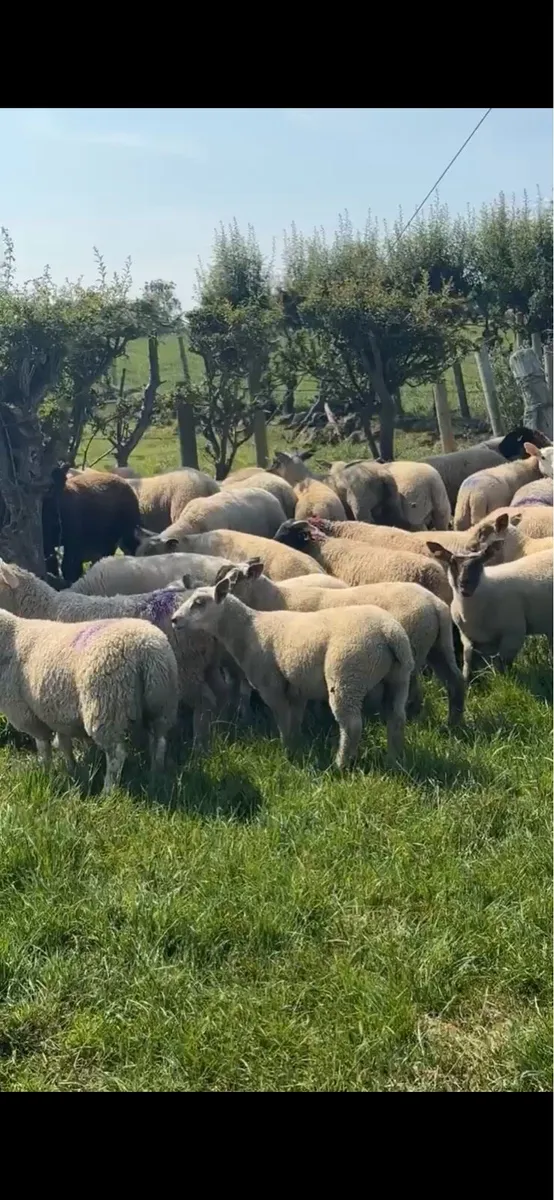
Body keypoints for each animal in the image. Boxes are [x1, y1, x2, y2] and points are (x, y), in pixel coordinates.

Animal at [0, 561, 226, 744]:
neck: (42, 609)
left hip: (188, 668)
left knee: (206, 701)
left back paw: (200, 742)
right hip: (208, 664)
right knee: (221, 692)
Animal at [0, 605, 178, 791]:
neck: (9, 637)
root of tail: (146, 649)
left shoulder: (27, 714)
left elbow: (44, 747)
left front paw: (45, 772)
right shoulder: (56, 712)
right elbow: (64, 743)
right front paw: (71, 768)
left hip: (108, 705)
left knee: (117, 754)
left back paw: (108, 790)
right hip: (161, 703)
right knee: (159, 740)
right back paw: (156, 775)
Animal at [171, 572, 414, 768]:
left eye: (199, 602)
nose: (174, 620)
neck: (249, 629)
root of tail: (389, 631)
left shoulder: (270, 684)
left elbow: (282, 719)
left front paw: (288, 753)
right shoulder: (297, 686)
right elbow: (295, 719)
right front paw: (297, 744)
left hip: (348, 673)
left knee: (352, 725)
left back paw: (341, 764)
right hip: (398, 677)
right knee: (397, 717)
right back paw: (394, 759)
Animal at [219, 559, 464, 725]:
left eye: (233, 580)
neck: (273, 599)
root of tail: (435, 604)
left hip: (413, 646)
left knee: (414, 690)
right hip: (438, 646)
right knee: (455, 681)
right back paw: (454, 721)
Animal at [426, 539, 553, 680]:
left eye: (480, 562)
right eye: (452, 562)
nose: (465, 584)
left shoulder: (514, 634)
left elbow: (502, 664)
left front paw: (504, 680)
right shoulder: (469, 638)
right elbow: (468, 663)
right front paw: (468, 681)